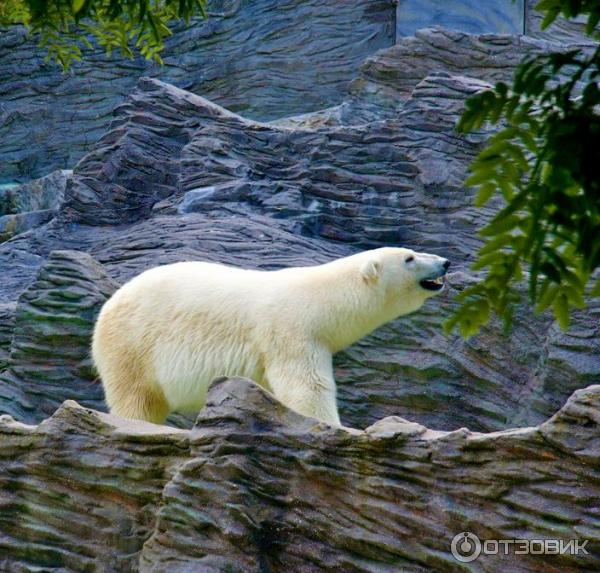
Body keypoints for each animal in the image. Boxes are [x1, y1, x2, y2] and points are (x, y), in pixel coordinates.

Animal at [92, 248, 450, 426]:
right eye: (409, 258)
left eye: (414, 251)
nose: (445, 262)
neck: (320, 300)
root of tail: (109, 305)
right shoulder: (290, 331)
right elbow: (307, 387)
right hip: (133, 344)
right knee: (137, 397)